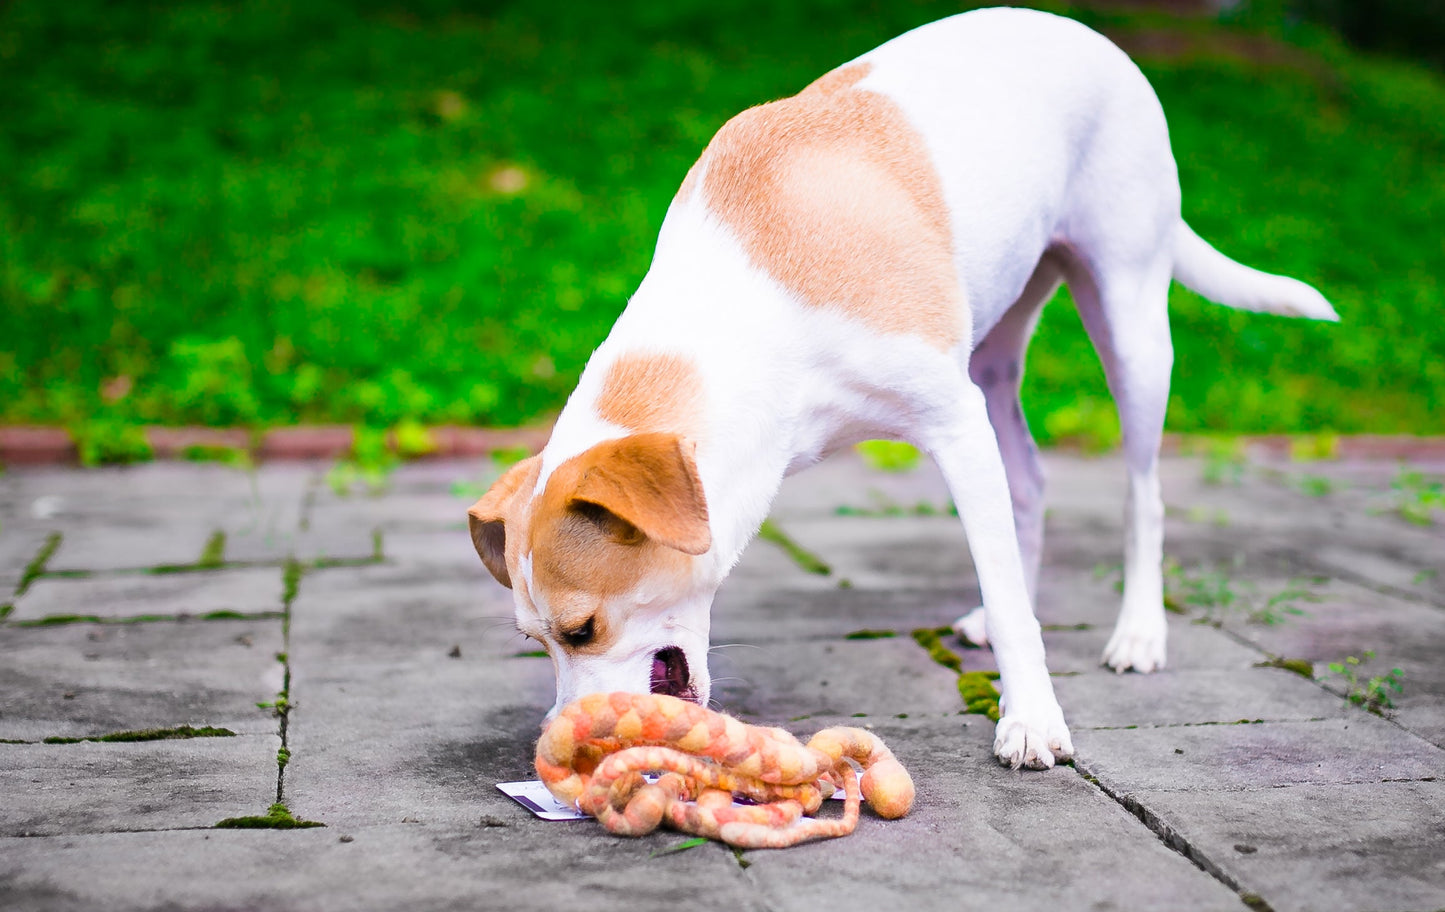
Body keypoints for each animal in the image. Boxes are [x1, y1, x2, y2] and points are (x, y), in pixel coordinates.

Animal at [468, 10, 1335, 774]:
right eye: (533, 641)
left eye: (582, 630)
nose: (562, 744)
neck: (752, 295)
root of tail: (1087, 34)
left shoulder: (953, 424)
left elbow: (1015, 597)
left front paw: (1031, 720)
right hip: (993, 356)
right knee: (1027, 476)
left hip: (1130, 322)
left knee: (1142, 489)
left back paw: (1138, 633)